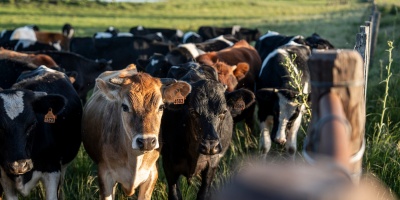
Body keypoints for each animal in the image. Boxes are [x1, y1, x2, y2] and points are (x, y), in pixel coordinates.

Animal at [161, 64, 255, 200]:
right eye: (193, 111)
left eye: (224, 111)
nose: (210, 146)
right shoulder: (168, 164)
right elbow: (174, 194)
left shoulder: (212, 164)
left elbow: (203, 194)